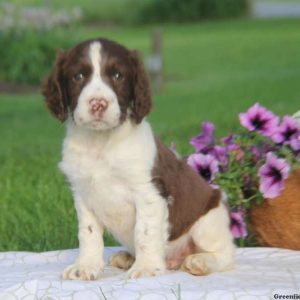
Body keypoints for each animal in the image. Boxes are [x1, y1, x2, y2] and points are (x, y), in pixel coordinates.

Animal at [42, 38, 234, 282]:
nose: (98, 104)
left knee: (225, 255)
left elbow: (145, 232)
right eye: (78, 76)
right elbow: (88, 234)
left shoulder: (149, 192)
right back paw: (126, 258)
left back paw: (199, 261)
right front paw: (85, 266)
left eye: (118, 76)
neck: (101, 143)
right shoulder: (83, 194)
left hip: (208, 221)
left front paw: (146, 267)